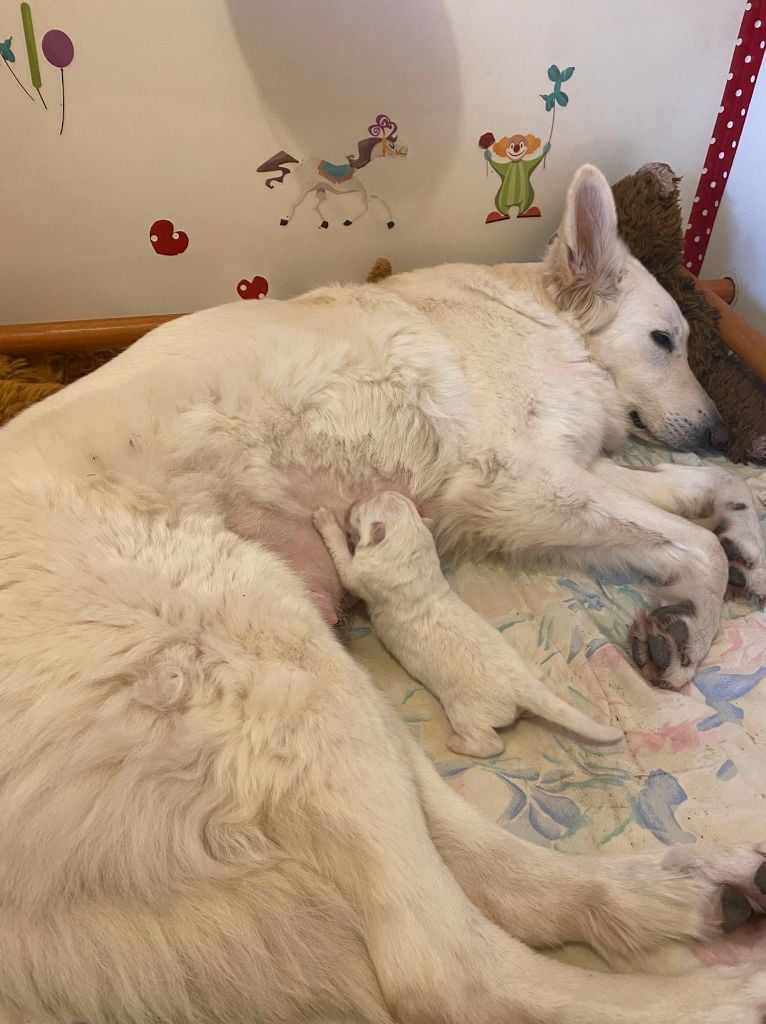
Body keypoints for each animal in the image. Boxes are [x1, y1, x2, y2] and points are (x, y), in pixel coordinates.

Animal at [1, 163, 766, 1019]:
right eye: (665, 341)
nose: (722, 432)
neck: (536, 315)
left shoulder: (568, 473)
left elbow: (706, 493)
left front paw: (738, 551)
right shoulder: (524, 483)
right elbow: (693, 537)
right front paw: (693, 615)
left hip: (328, 690)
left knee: (488, 875)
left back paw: (692, 890)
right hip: (279, 654)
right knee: (449, 967)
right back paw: (726, 993)